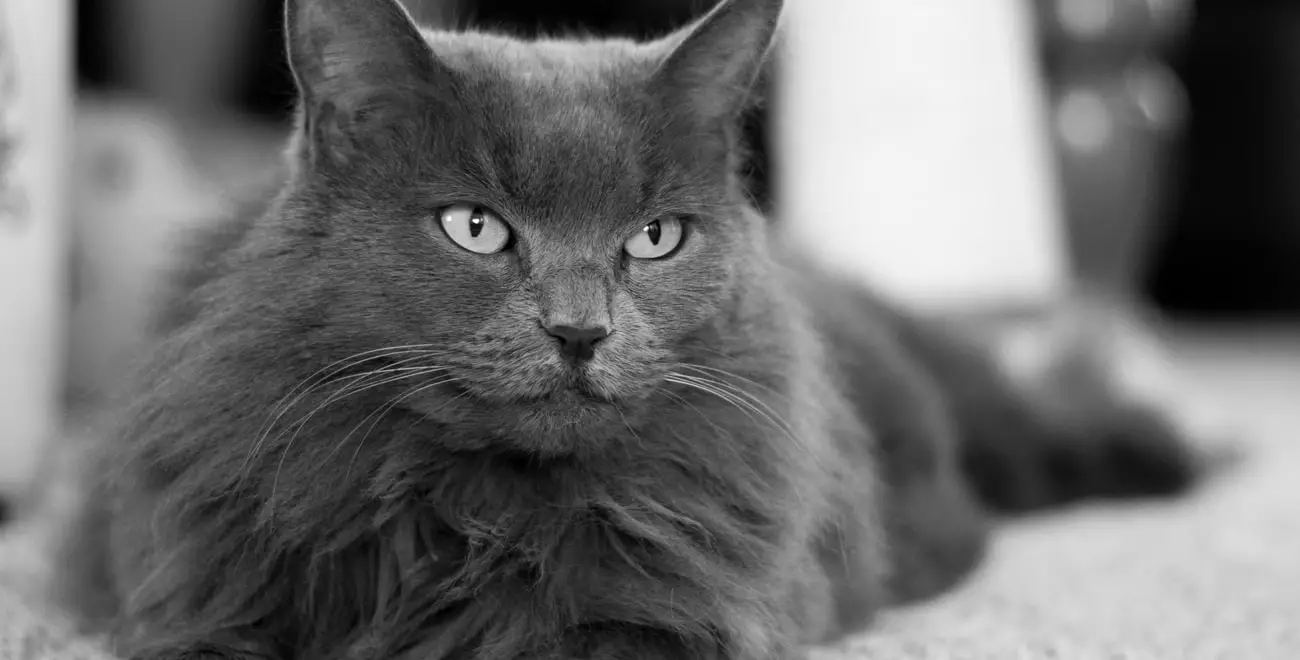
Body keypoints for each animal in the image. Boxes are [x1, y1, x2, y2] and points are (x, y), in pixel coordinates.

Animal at [55, 1, 1201, 660]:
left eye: (652, 238)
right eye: (475, 226)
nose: (580, 331)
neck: (469, 513)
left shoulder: (666, 624)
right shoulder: (203, 589)